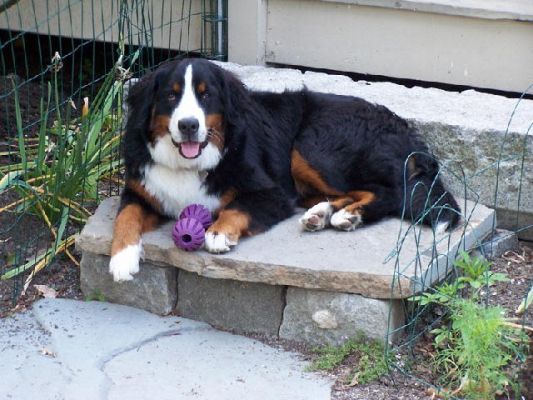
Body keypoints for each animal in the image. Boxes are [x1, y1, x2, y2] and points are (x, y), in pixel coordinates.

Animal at [108, 57, 458, 282]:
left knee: (391, 193)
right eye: (171, 95)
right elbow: (125, 217)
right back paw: (322, 214)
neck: (188, 163)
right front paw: (122, 258)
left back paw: (347, 216)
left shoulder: (271, 192)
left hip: (310, 146)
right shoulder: (141, 190)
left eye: (207, 96)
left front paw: (218, 233)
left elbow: (236, 208)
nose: (189, 125)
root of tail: (402, 125)